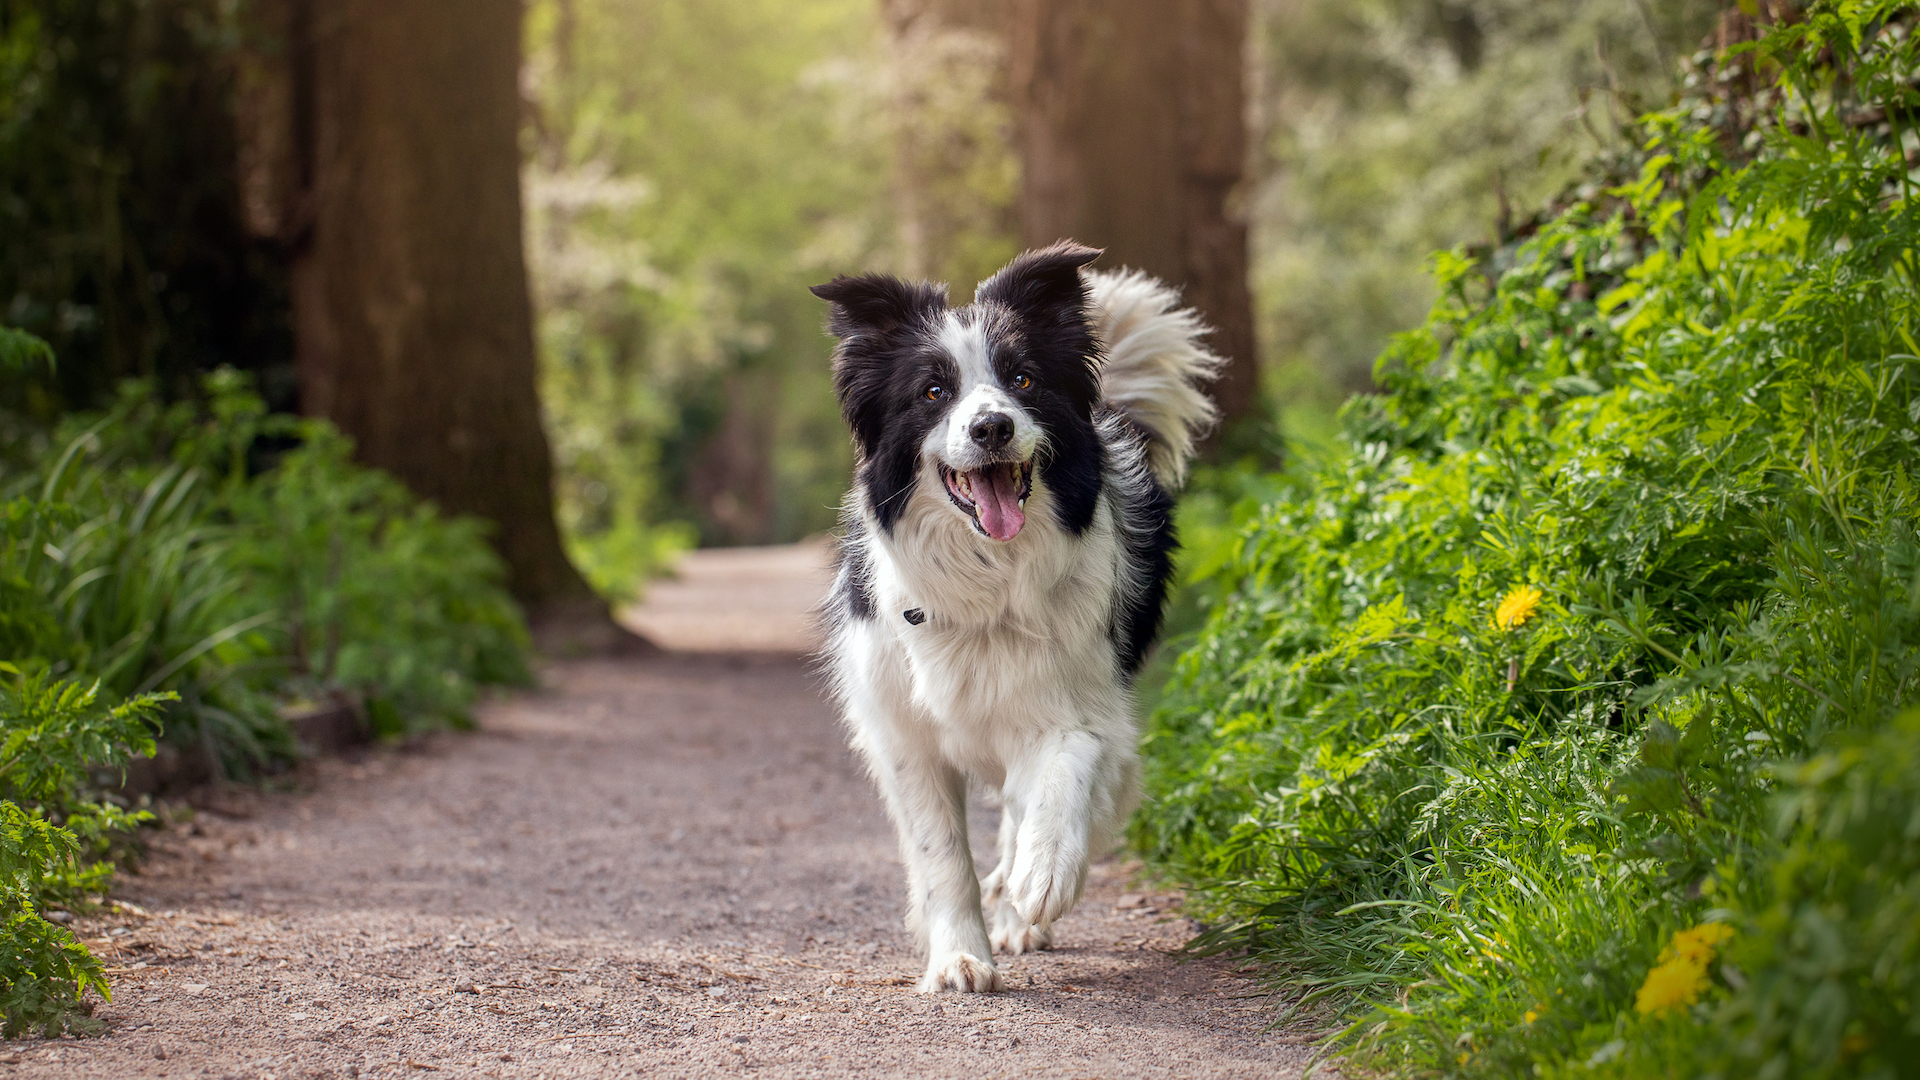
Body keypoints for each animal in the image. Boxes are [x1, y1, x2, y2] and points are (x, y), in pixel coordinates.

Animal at [806, 239, 1213, 991]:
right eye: (933, 392)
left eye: (1023, 379)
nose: (992, 425)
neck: (989, 578)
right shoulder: (904, 737)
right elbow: (941, 857)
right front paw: (959, 956)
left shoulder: (1088, 709)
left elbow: (1065, 769)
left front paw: (1042, 877)